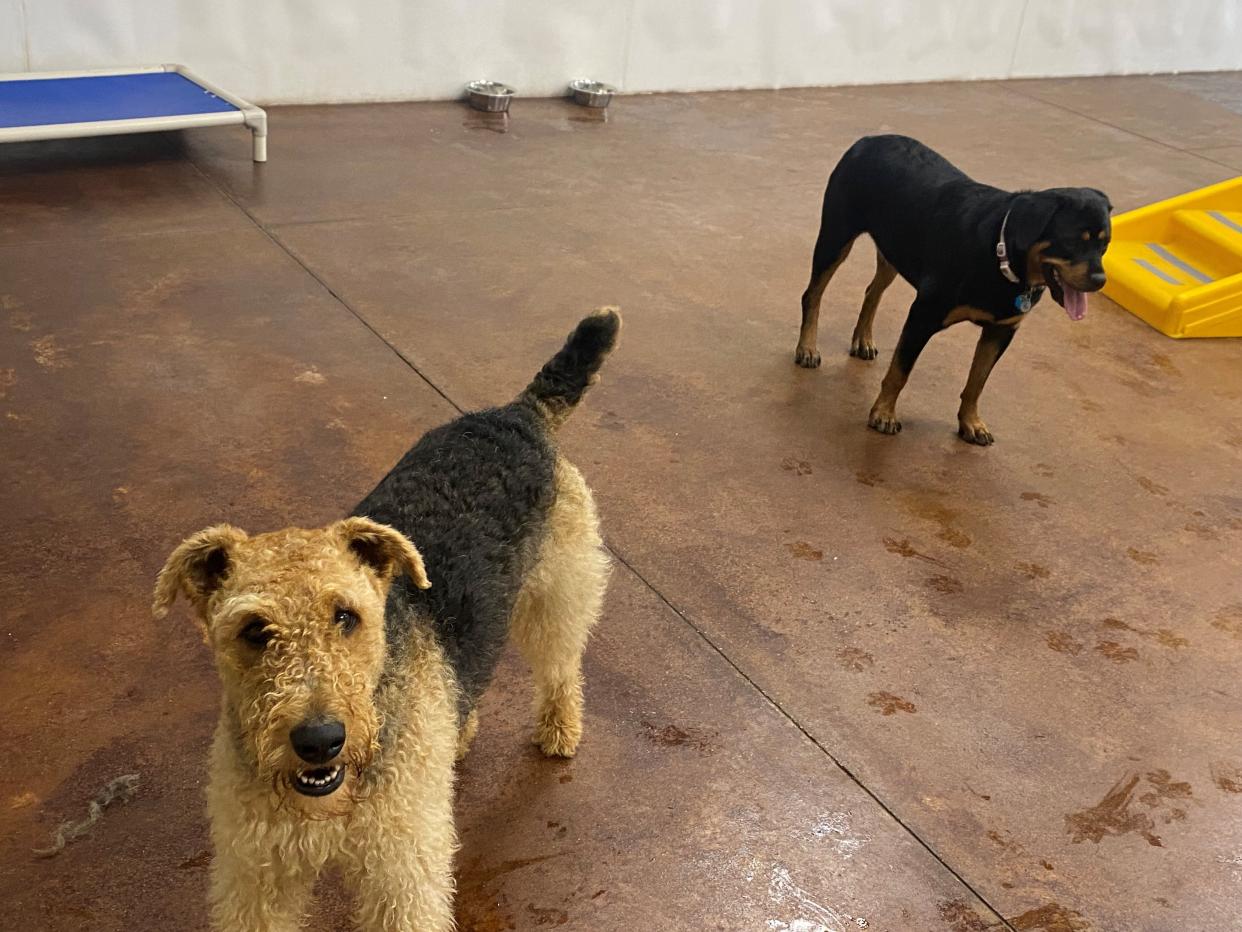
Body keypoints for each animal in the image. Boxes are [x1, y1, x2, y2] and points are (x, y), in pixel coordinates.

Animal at [155, 310, 621, 929]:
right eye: (254, 630)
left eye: (346, 616)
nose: (320, 740)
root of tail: (519, 413)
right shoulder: (258, 875)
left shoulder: (401, 872)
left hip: (558, 593)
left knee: (562, 666)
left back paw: (559, 732)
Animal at [799, 132, 1112, 449]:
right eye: (1072, 241)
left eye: (1105, 244)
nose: (1101, 280)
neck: (999, 254)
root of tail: (869, 139)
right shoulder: (922, 316)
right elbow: (900, 371)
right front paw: (884, 414)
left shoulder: (1001, 331)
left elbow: (977, 382)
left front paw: (971, 423)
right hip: (836, 237)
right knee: (813, 294)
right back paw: (807, 348)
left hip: (895, 249)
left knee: (873, 291)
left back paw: (862, 339)